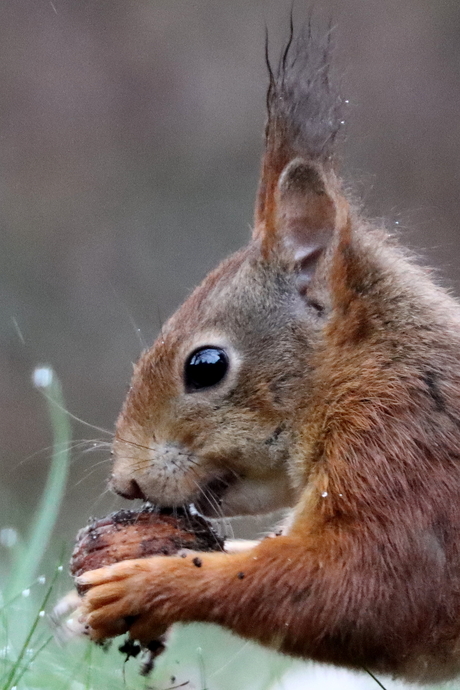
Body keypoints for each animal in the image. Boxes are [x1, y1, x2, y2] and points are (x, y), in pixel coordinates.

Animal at [78, 24, 460, 680]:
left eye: (205, 366)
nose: (125, 483)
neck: (372, 368)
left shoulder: (409, 460)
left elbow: (376, 591)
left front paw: (150, 582)